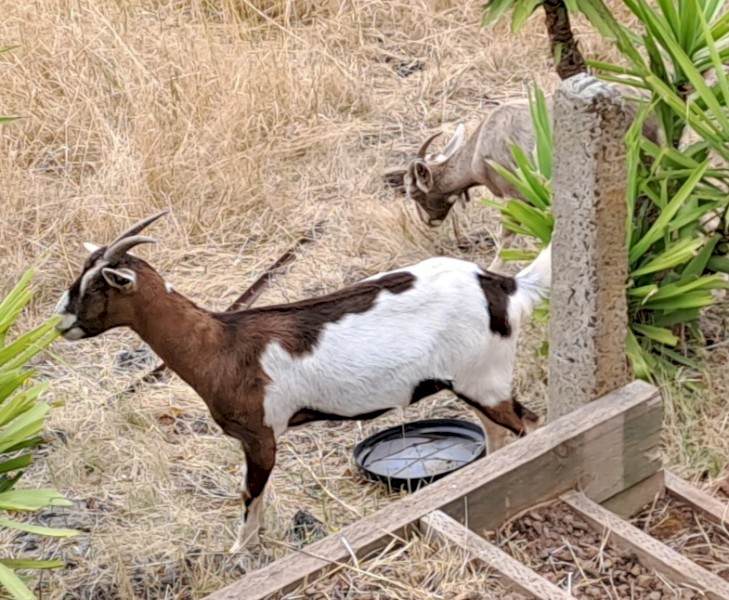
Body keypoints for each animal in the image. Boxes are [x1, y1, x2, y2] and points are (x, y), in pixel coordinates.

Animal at [54, 210, 551, 552]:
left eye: (95, 286)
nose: (62, 322)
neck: (222, 346)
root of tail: (503, 287)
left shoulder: (260, 435)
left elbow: (249, 493)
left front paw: (241, 548)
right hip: (469, 381)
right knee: (496, 433)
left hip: (485, 380)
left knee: (529, 424)